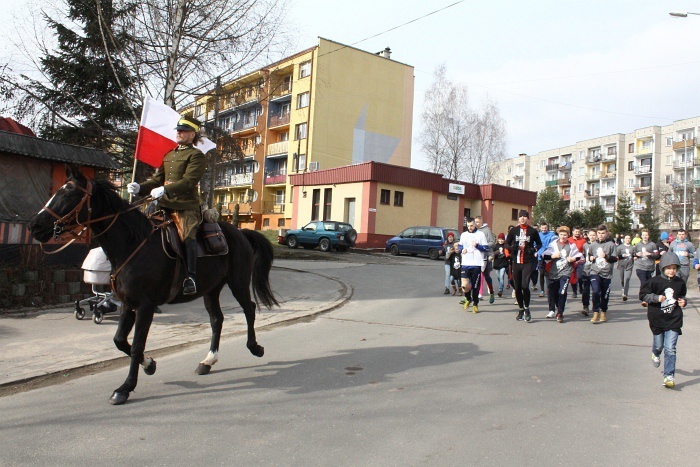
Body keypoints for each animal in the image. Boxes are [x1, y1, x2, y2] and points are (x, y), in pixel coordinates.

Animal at [30, 168, 278, 406]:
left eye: (68, 194)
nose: (35, 226)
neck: (133, 244)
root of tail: (240, 232)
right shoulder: (128, 304)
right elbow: (120, 340)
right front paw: (149, 364)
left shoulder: (145, 306)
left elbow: (137, 344)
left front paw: (125, 388)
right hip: (211, 290)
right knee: (217, 319)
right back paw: (208, 361)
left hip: (238, 282)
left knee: (249, 309)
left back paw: (255, 347)